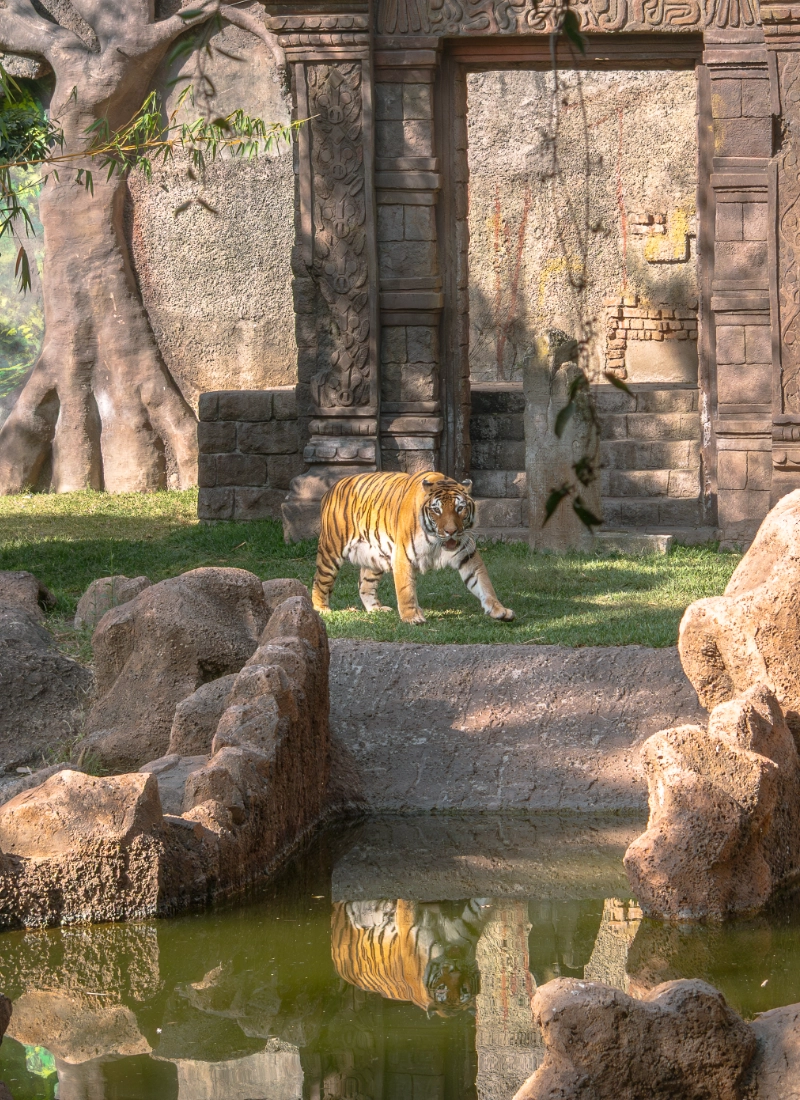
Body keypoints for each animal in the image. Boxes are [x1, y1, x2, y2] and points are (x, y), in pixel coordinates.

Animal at [312, 470, 515, 624]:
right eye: (437, 510)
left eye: (459, 508)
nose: (451, 531)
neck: (437, 540)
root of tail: (332, 488)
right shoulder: (403, 556)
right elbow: (406, 590)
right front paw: (411, 617)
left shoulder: (467, 555)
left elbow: (484, 584)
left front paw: (499, 610)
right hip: (331, 550)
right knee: (320, 581)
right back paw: (321, 609)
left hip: (375, 557)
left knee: (364, 585)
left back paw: (376, 609)